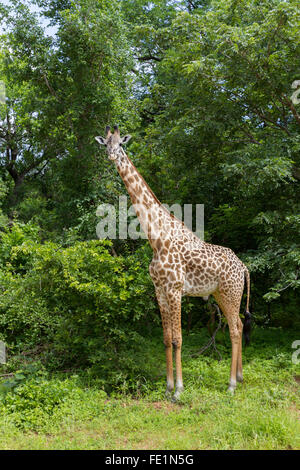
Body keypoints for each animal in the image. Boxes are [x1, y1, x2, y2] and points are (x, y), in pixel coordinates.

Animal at [95, 126, 251, 400]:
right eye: (106, 144)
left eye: (121, 144)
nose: (112, 155)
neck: (156, 238)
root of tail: (243, 267)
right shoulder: (159, 289)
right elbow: (167, 338)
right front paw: (168, 387)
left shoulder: (176, 289)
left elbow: (178, 338)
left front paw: (178, 390)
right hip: (222, 294)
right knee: (240, 325)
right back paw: (240, 378)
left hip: (231, 292)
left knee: (234, 329)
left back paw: (231, 384)